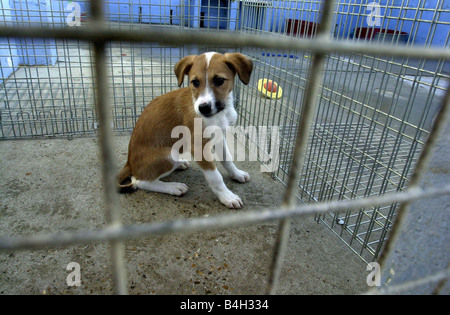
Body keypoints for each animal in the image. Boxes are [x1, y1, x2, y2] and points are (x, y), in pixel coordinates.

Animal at [118, 52, 253, 210]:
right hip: (169, 154)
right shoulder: (198, 147)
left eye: (219, 80)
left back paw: (180, 164)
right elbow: (215, 176)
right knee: (139, 181)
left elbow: (227, 159)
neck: (221, 113)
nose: (203, 108)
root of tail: (129, 163)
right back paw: (173, 187)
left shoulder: (220, 137)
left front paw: (236, 174)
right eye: (195, 82)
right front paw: (227, 196)